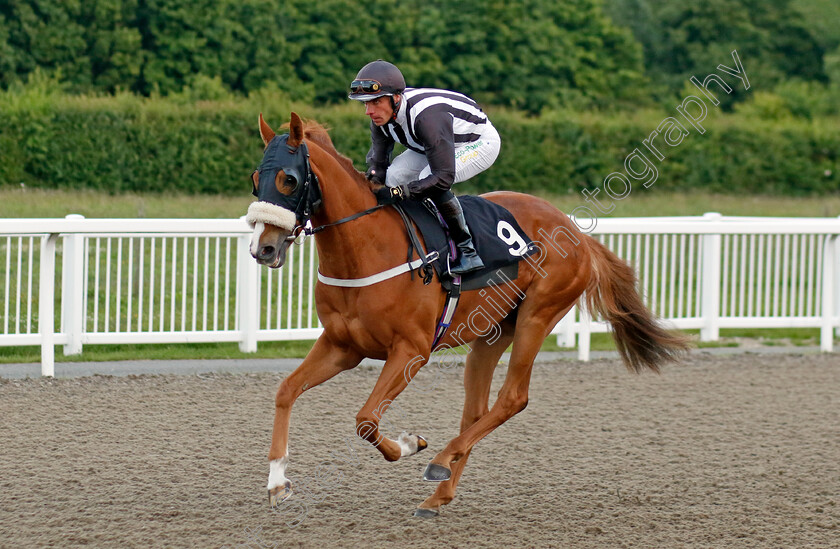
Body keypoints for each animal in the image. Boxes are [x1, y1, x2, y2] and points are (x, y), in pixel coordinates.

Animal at [249, 112, 688, 520]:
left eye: (289, 179)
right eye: (255, 179)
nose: (263, 249)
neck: (366, 249)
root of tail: (576, 231)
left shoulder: (411, 352)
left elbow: (366, 419)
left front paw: (411, 444)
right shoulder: (342, 345)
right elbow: (286, 390)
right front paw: (277, 483)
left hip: (538, 315)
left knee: (512, 398)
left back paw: (439, 462)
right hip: (493, 332)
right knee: (475, 411)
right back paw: (438, 495)